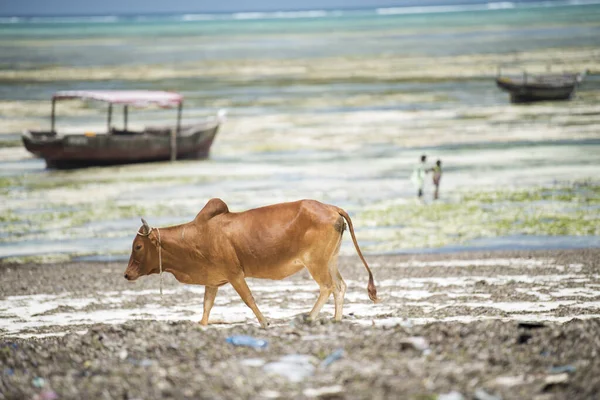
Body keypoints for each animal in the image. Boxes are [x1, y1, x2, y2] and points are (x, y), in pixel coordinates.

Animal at [122, 199, 378, 328]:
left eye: (138, 246)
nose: (126, 274)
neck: (193, 237)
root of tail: (331, 207)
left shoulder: (235, 275)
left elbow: (249, 300)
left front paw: (264, 322)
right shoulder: (212, 280)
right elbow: (206, 307)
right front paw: (202, 325)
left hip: (315, 262)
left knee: (328, 287)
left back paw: (309, 317)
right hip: (330, 259)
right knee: (340, 287)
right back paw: (336, 320)